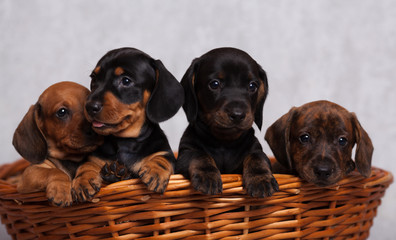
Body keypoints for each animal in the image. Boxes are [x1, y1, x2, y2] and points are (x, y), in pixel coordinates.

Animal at [85, 47, 184, 194]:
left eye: (126, 81)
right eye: (94, 79)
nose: (89, 107)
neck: (125, 141)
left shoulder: (165, 152)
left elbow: (162, 157)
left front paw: (156, 171)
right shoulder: (95, 159)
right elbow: (88, 165)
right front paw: (84, 180)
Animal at [176, 47, 278, 197]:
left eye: (252, 86)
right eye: (214, 84)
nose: (238, 115)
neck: (224, 143)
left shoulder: (255, 149)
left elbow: (257, 157)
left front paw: (260, 179)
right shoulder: (185, 153)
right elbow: (200, 154)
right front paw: (208, 176)